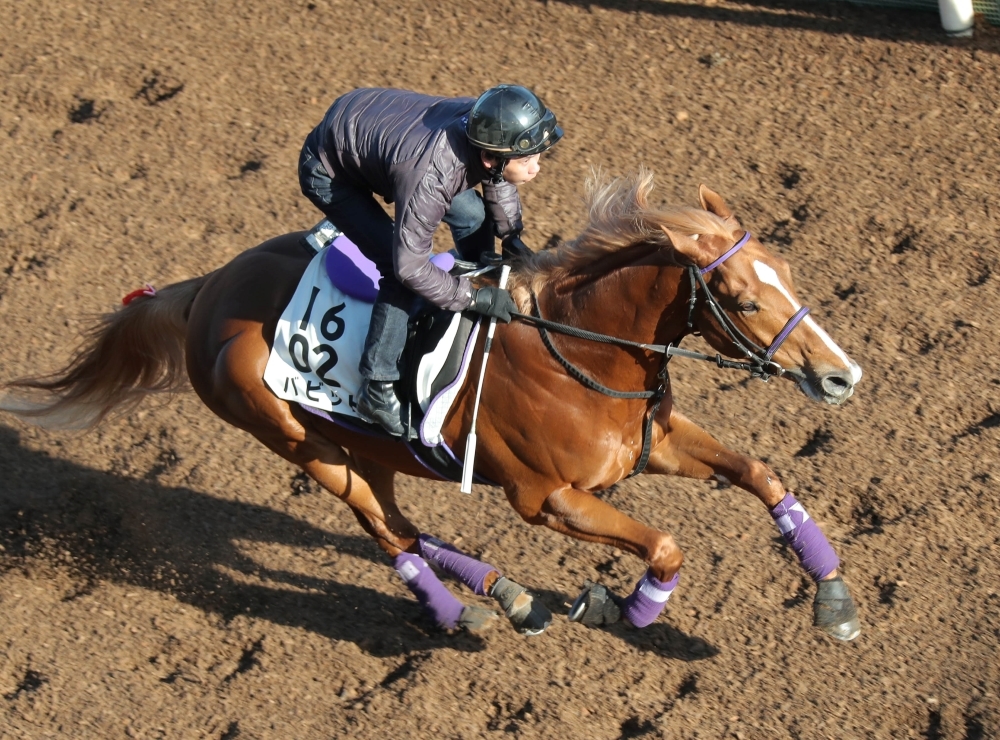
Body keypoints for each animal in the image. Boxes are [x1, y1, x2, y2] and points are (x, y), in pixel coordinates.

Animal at [0, 172, 864, 640]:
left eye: (787, 270)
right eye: (743, 299)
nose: (841, 377)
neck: (581, 351)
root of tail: (206, 288)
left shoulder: (654, 440)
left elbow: (761, 474)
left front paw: (832, 598)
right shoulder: (546, 499)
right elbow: (666, 547)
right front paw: (625, 610)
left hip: (363, 449)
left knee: (402, 524)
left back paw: (507, 594)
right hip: (304, 445)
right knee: (390, 535)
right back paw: (470, 610)